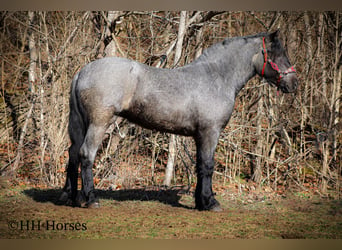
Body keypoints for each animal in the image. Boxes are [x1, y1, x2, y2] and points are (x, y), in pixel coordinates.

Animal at [58, 30, 296, 211]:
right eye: (277, 54)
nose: (294, 83)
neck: (217, 77)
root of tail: (82, 72)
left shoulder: (200, 135)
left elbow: (200, 165)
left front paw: (201, 202)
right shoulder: (210, 132)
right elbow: (208, 165)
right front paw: (211, 202)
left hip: (79, 125)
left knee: (73, 154)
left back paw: (70, 197)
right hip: (99, 124)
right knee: (86, 154)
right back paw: (91, 199)